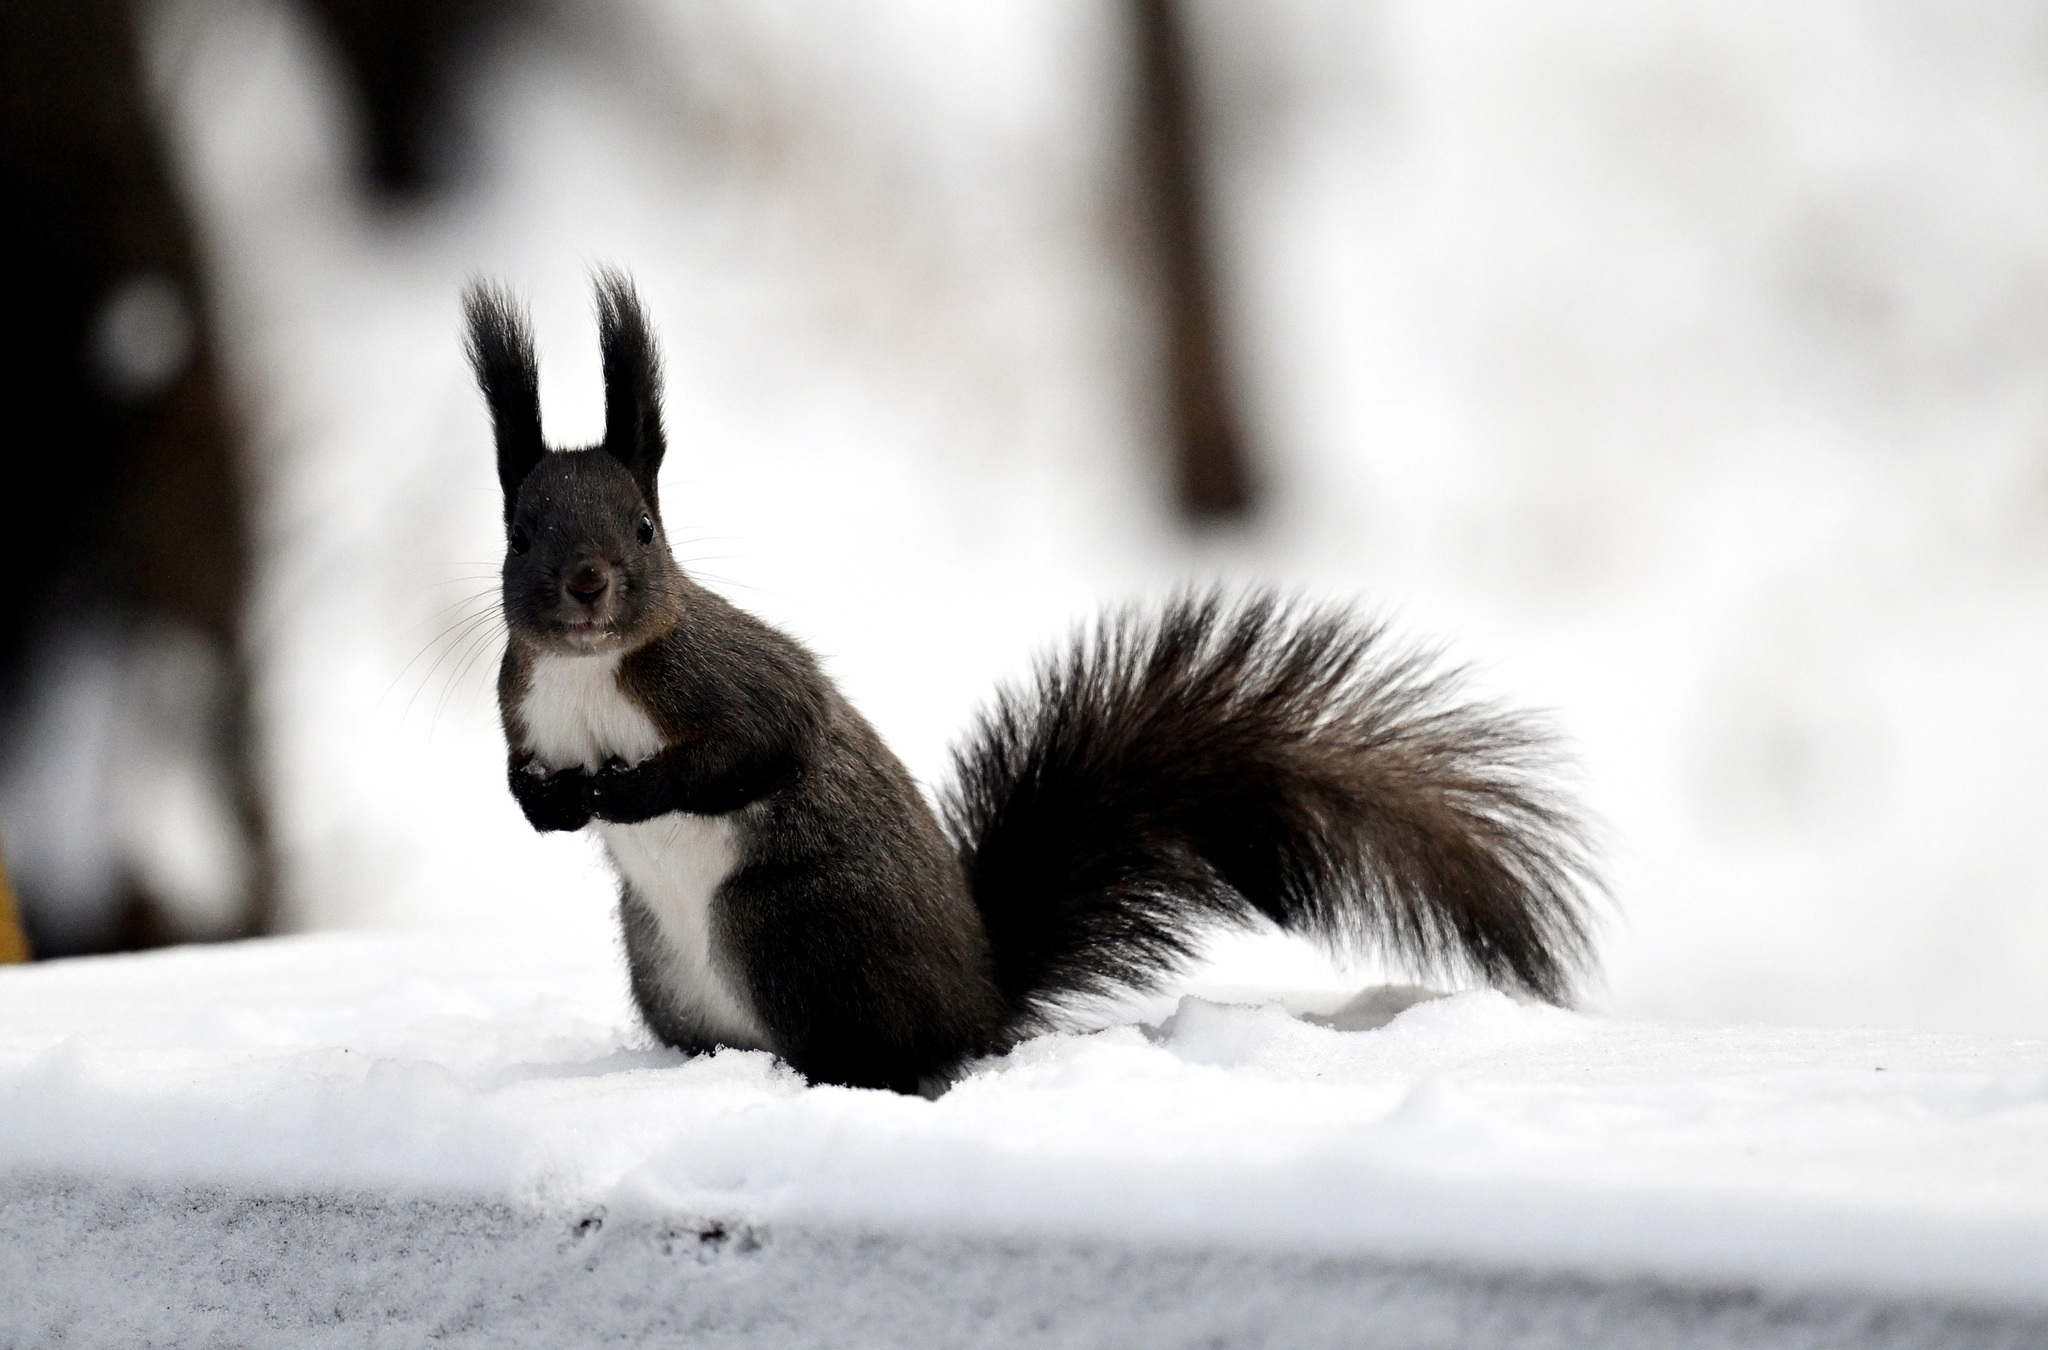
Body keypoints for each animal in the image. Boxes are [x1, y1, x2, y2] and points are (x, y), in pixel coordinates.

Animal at [468, 274, 1597, 1098]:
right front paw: (545, 802)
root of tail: (978, 997)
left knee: (889, 1058)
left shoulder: (733, 680)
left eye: (645, 529)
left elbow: (757, 747)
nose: (584, 584)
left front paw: (625, 791)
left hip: (787, 921)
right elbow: (518, 772)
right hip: (660, 959)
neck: (587, 670)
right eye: (517, 531)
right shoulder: (518, 701)